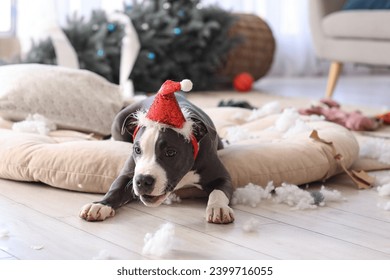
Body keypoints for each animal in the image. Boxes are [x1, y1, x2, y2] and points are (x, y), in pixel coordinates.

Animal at [77, 79, 233, 223]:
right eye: (137, 149)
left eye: (170, 152)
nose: (142, 181)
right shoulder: (128, 174)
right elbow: (115, 188)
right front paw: (100, 205)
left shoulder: (223, 177)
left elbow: (218, 192)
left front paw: (218, 207)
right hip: (118, 121)